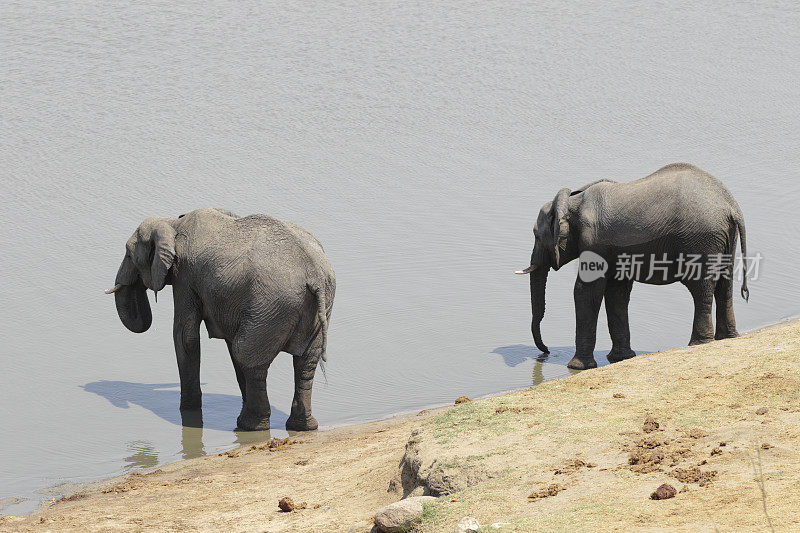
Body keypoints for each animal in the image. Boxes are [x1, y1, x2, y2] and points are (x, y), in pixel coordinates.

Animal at [106, 206, 334, 430]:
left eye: (129, 255)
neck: (172, 222)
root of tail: (314, 275)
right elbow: (226, 342)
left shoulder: (185, 275)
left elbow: (185, 336)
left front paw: (188, 411)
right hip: (310, 305)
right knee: (306, 361)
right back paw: (302, 426)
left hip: (273, 305)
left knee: (246, 354)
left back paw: (249, 426)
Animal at [520, 162, 752, 370]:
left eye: (536, 236)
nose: (546, 352)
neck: (572, 201)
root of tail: (732, 207)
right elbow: (617, 292)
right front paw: (621, 358)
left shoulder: (594, 241)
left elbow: (586, 290)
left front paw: (578, 367)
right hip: (724, 239)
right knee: (724, 285)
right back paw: (727, 338)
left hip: (701, 240)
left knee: (701, 287)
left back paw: (699, 343)